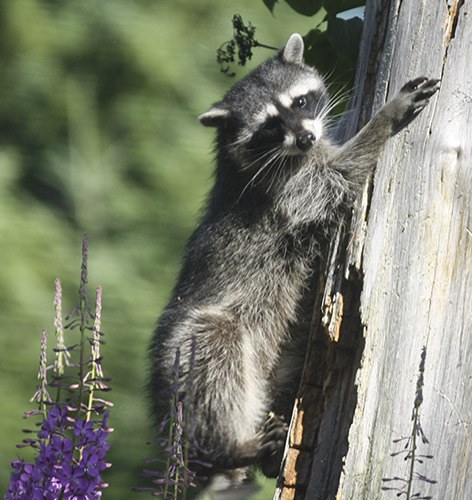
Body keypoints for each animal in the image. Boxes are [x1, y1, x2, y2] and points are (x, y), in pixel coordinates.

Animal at [149, 33, 440, 482]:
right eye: (270, 125)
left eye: (300, 101)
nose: (304, 138)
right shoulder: (286, 188)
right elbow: (340, 174)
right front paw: (385, 117)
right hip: (187, 353)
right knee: (217, 353)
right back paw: (230, 448)